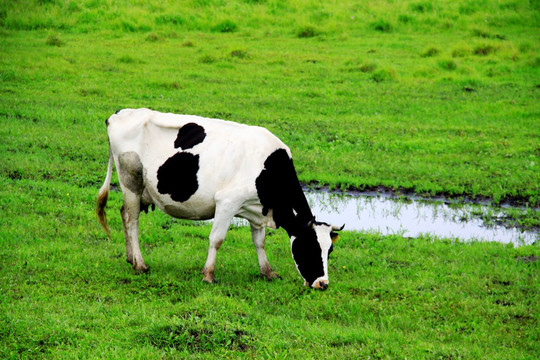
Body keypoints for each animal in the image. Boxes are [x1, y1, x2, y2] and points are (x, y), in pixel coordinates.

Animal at [96, 107, 344, 290]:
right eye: (310, 247)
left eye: (329, 250)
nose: (323, 284)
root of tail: (119, 114)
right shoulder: (227, 202)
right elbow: (216, 239)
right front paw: (208, 275)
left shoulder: (257, 209)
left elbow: (259, 242)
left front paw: (268, 272)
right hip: (131, 181)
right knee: (132, 220)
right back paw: (139, 264)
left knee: (123, 214)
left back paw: (130, 258)